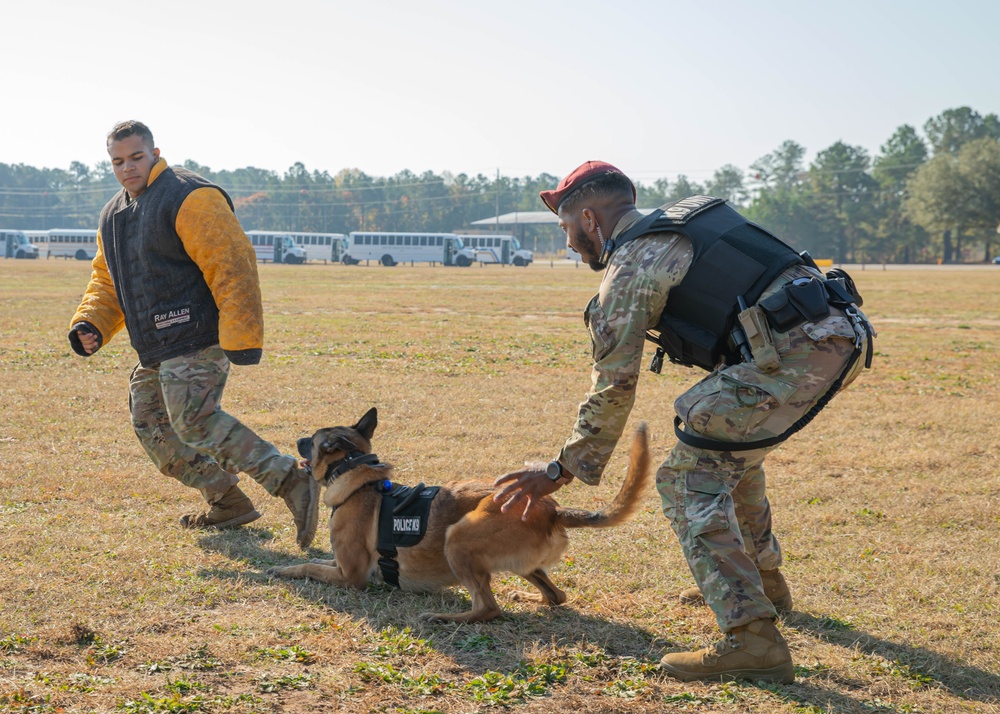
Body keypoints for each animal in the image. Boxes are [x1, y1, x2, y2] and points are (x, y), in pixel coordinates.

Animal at [270, 408, 652, 620]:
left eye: (312, 440)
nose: (299, 437)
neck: (358, 480)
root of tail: (554, 509)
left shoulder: (351, 576)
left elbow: (309, 567)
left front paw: (283, 569)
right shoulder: (341, 565)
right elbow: (316, 561)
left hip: (458, 538)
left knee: (489, 609)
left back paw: (443, 616)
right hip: (519, 563)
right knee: (556, 596)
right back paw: (526, 598)